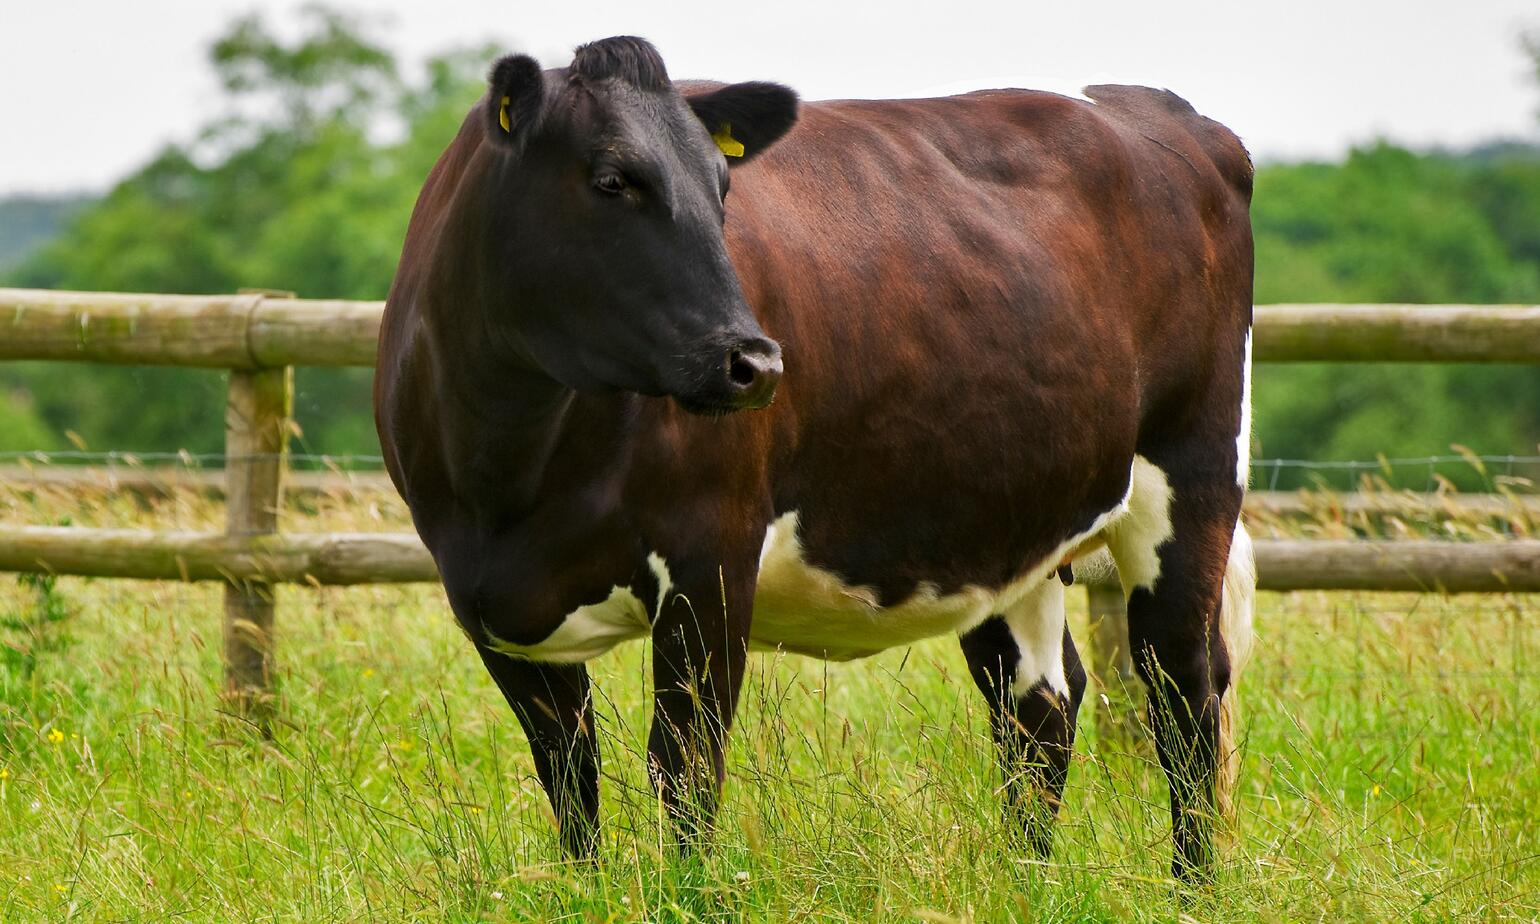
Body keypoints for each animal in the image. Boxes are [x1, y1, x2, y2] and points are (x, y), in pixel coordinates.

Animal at [374, 35, 1256, 881]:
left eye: (722, 192)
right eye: (611, 178)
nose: (754, 362)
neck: (510, 468)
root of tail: (1172, 115)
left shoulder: (710, 560)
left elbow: (684, 766)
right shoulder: (487, 602)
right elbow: (569, 771)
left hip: (1192, 476)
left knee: (1183, 693)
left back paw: (1190, 889)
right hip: (1012, 523)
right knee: (1039, 706)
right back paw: (1026, 884)